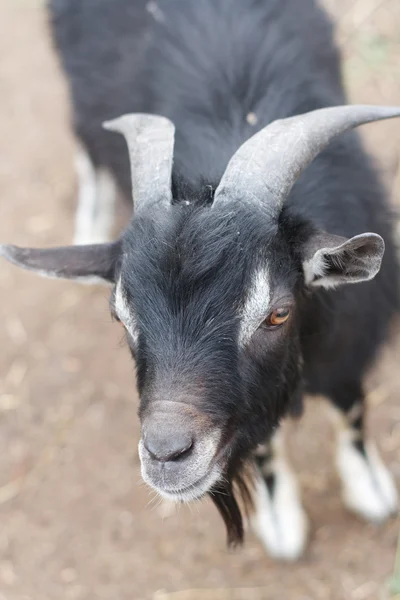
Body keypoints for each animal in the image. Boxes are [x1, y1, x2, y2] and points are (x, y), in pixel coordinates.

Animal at [1, 0, 398, 556]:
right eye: (119, 316)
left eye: (278, 312)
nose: (167, 454)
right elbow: (265, 441)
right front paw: (282, 519)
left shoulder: (350, 339)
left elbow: (351, 408)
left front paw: (371, 490)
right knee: (85, 138)